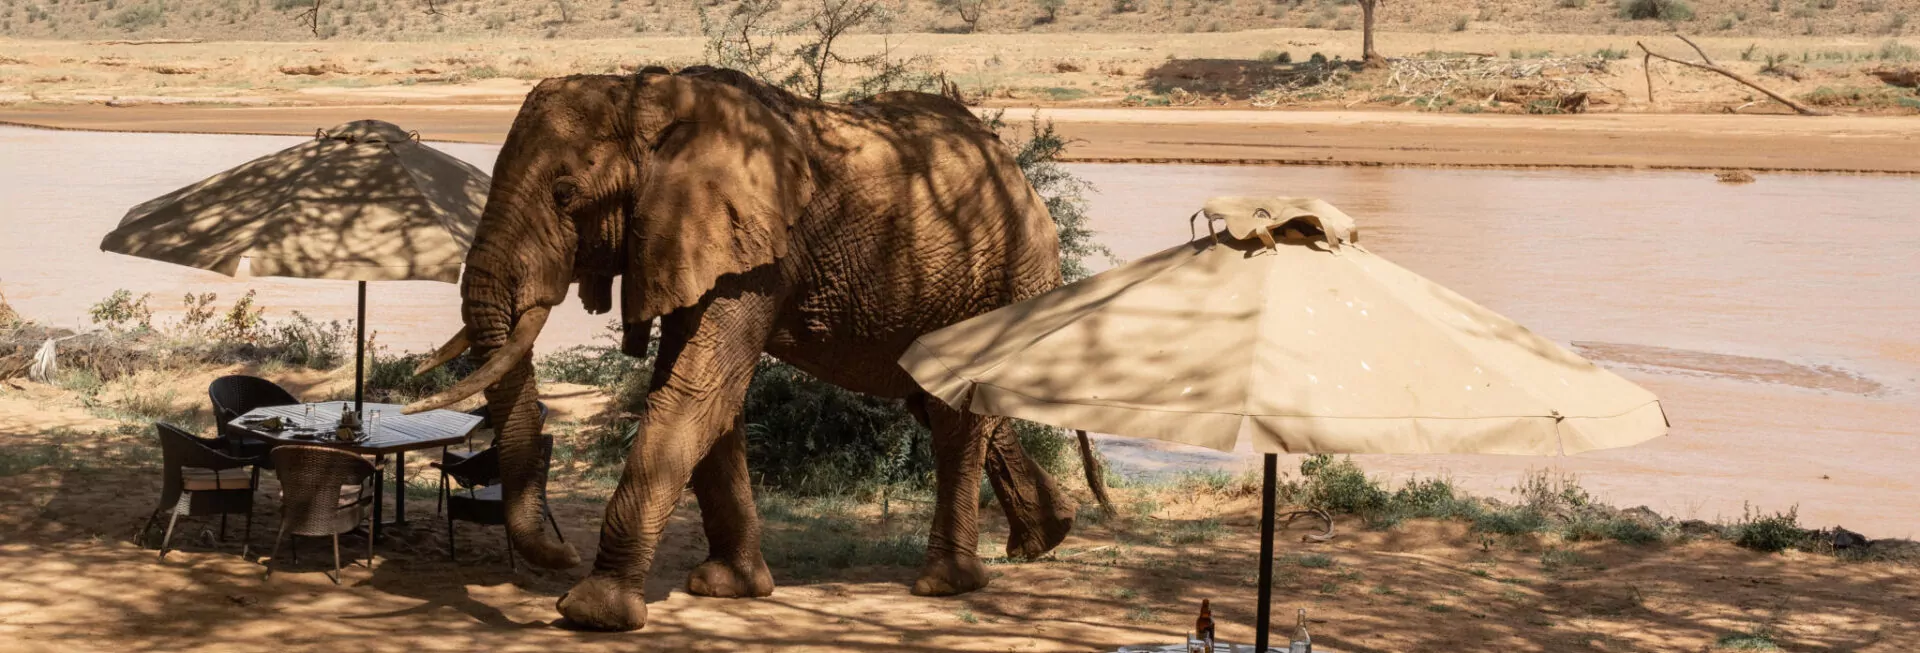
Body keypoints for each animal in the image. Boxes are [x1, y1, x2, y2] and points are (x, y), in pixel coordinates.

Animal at [404, 66, 1079, 631]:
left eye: (565, 194)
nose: (561, 552)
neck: (647, 95)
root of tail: (1017, 170)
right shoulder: (691, 242)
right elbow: (707, 395)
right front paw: (729, 588)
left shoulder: (751, 252)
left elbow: (696, 389)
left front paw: (592, 611)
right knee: (941, 405)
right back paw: (1046, 536)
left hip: (996, 281)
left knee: (952, 418)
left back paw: (945, 584)